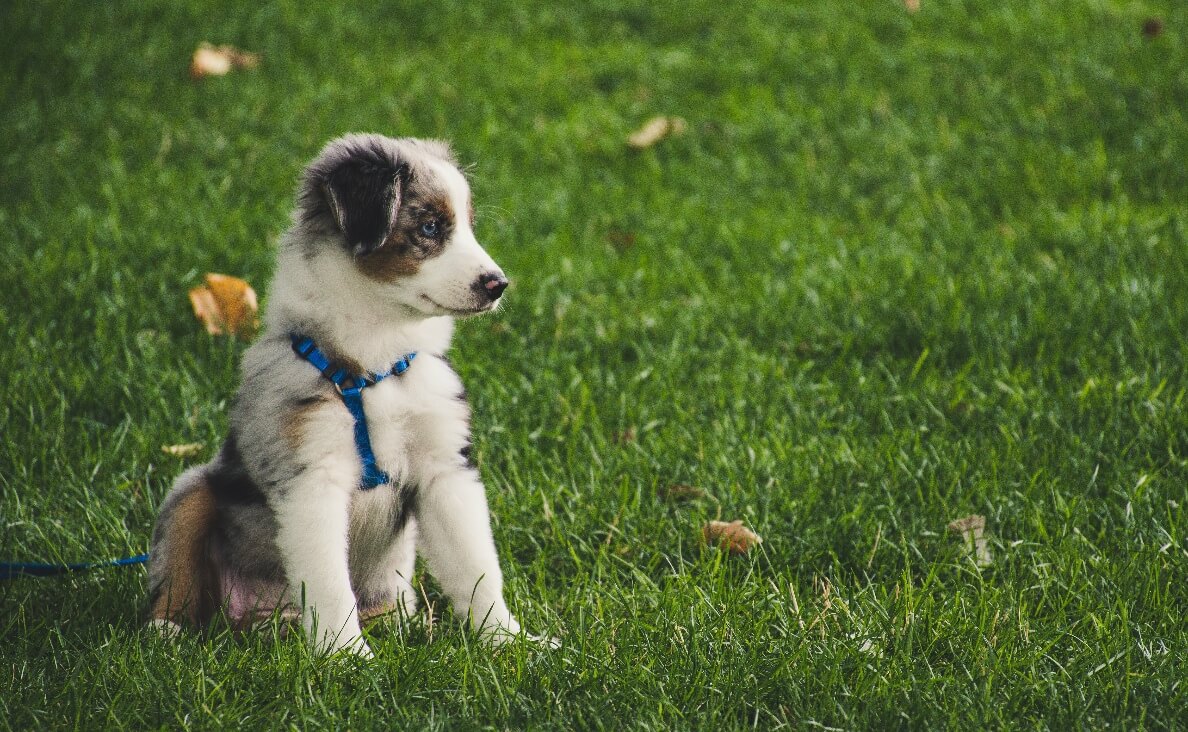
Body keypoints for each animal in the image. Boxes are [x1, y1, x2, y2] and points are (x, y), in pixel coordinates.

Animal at [148, 134, 539, 655]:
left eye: (468, 227)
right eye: (430, 226)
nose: (498, 285)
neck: (375, 365)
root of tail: (263, 617)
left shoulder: (445, 467)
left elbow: (476, 567)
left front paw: (511, 643)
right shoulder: (312, 475)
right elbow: (330, 582)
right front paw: (346, 657)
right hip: (192, 491)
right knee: (175, 571)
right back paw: (166, 630)